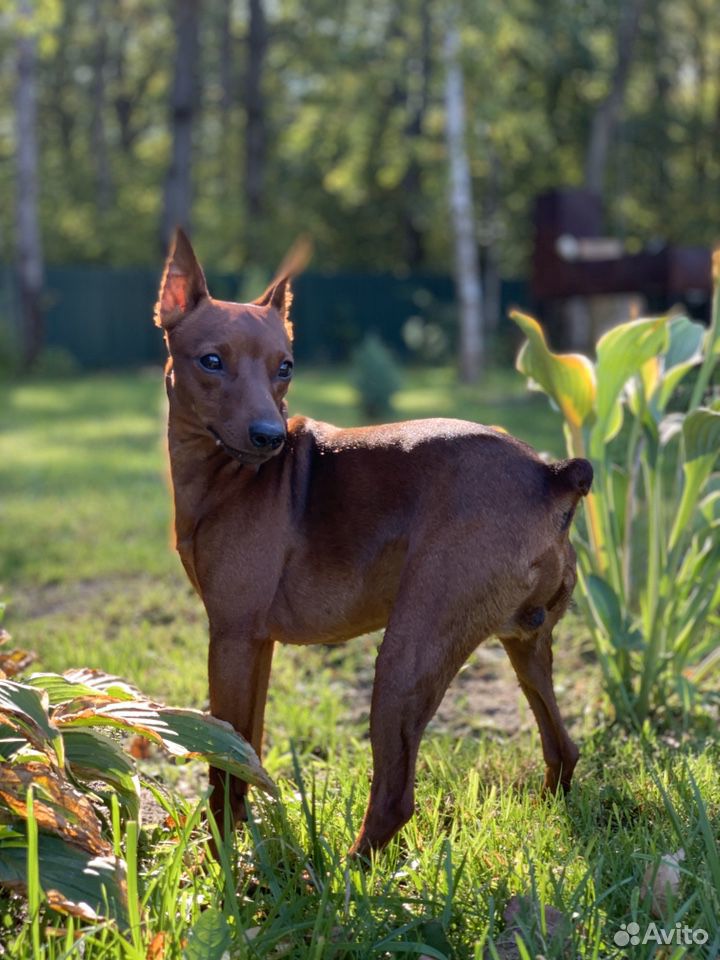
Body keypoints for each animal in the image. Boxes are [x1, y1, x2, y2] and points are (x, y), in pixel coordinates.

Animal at [155, 231, 592, 856]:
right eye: (211, 361)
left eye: (285, 368)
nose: (270, 437)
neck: (227, 477)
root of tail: (549, 474)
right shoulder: (257, 642)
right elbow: (248, 751)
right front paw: (243, 833)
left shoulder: (231, 638)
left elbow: (225, 764)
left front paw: (219, 857)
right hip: (527, 645)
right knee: (563, 747)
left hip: (406, 657)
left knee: (394, 800)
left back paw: (344, 873)